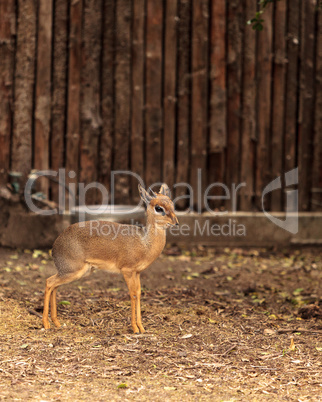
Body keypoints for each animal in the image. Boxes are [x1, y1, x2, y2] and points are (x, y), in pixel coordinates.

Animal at [42, 185, 179, 332]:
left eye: (172, 204)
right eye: (158, 208)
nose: (176, 222)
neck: (144, 243)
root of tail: (55, 245)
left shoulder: (137, 272)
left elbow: (138, 293)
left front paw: (141, 328)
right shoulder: (127, 270)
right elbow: (132, 294)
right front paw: (135, 328)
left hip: (75, 272)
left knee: (54, 285)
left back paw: (56, 323)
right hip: (73, 271)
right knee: (49, 282)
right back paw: (46, 324)